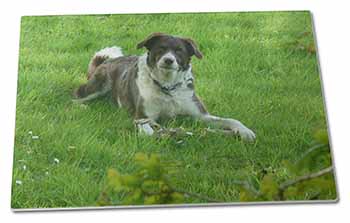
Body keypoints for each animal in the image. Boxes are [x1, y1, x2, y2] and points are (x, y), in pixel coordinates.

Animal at [74, 32, 256, 141]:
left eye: (179, 51)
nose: (169, 60)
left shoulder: (201, 115)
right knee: (75, 97)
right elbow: (151, 131)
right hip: (99, 85)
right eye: (161, 49)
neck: (168, 88)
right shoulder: (142, 117)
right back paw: (82, 107)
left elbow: (230, 120)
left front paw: (244, 131)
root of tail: (108, 60)